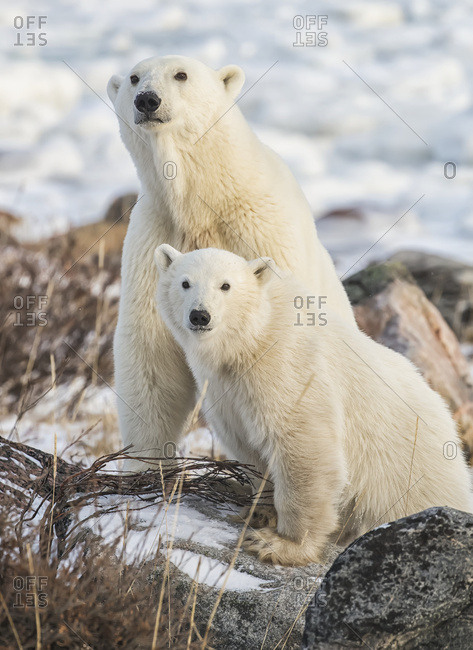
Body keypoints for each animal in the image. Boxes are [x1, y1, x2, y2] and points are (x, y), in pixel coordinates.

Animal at [106, 55, 356, 470]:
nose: (147, 100)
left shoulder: (262, 230)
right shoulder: (154, 238)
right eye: (133, 78)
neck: (201, 201)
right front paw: (143, 465)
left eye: (181, 74)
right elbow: (151, 355)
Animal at [154, 244, 473, 566]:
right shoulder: (226, 390)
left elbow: (303, 446)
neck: (251, 340)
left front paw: (280, 544)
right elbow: (250, 448)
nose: (200, 315)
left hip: (410, 478)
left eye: (225, 285)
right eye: (185, 283)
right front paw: (259, 512)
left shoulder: (289, 366)